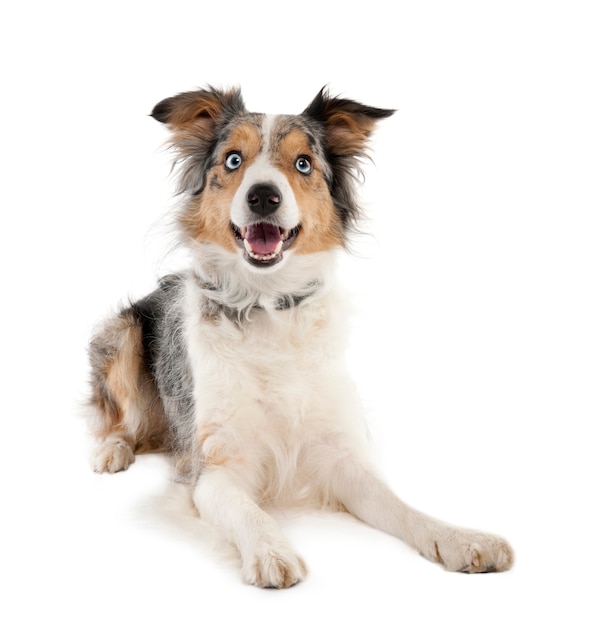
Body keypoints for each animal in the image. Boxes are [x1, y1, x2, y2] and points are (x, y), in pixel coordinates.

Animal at [88, 84, 512, 584]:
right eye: (233, 160)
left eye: (304, 163)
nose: (263, 197)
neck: (269, 304)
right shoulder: (215, 465)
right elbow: (247, 510)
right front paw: (270, 551)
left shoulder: (339, 455)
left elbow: (400, 507)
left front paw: (461, 538)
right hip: (122, 334)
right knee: (117, 420)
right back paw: (112, 451)